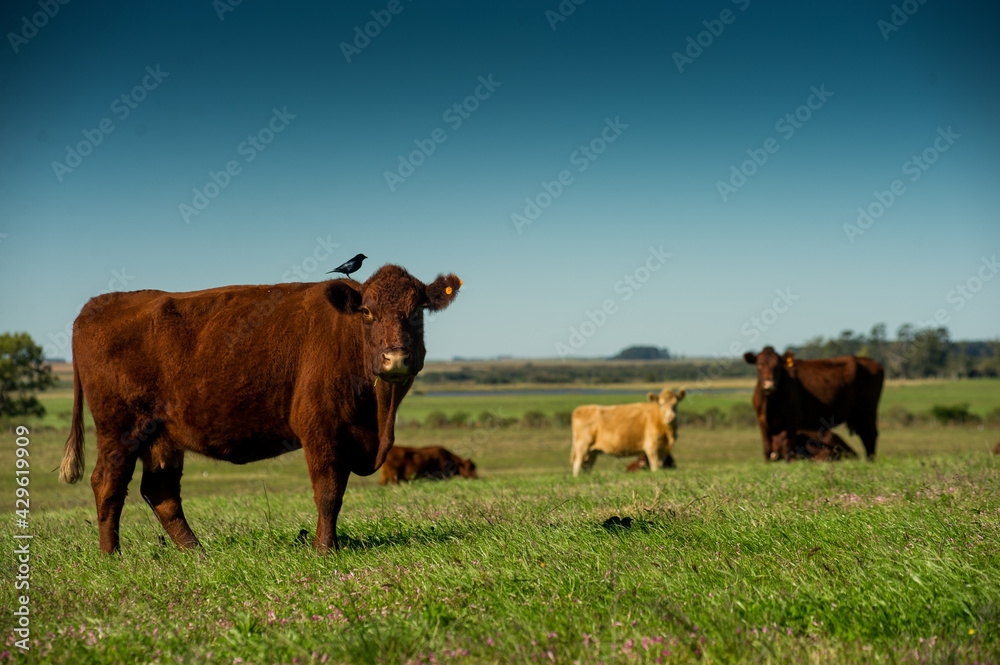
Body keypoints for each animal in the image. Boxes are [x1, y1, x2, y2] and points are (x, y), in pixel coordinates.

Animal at [64, 262, 462, 552]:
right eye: (366, 311)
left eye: (418, 311)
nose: (396, 358)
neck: (378, 416)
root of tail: (98, 304)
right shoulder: (319, 427)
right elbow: (329, 492)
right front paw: (324, 549)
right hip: (119, 428)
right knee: (108, 484)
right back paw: (111, 556)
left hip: (160, 435)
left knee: (161, 491)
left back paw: (196, 552)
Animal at [744, 348, 884, 462]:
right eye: (759, 365)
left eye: (778, 366)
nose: (769, 384)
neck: (770, 401)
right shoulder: (762, 421)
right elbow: (767, 446)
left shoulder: (792, 420)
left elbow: (789, 444)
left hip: (867, 412)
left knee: (869, 436)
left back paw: (870, 461)